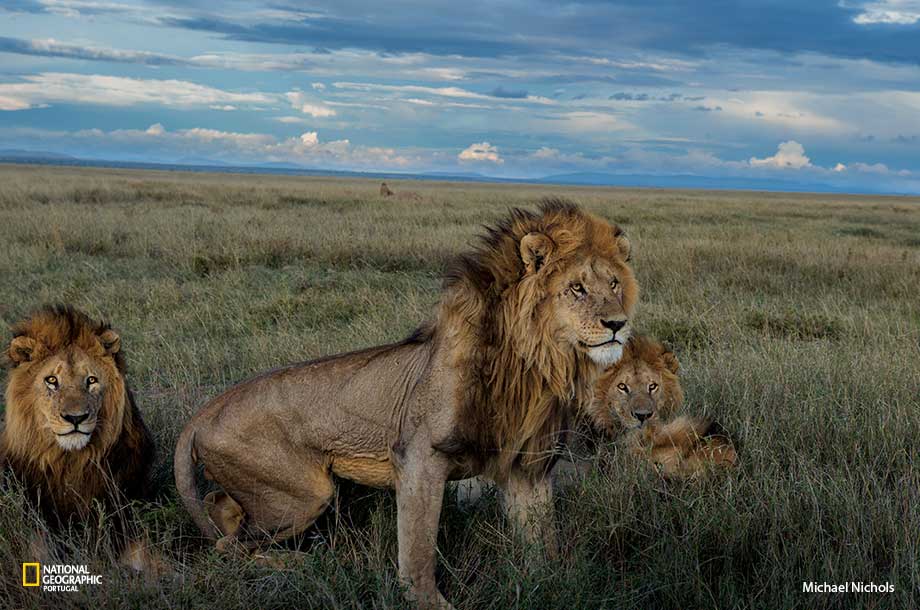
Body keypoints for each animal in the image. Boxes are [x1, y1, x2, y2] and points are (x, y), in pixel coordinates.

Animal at [175, 199, 637, 609]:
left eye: (614, 284)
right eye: (576, 288)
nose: (618, 324)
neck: (535, 362)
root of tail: (204, 412)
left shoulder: (529, 467)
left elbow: (544, 543)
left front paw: (558, 585)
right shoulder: (418, 456)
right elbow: (418, 548)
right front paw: (428, 603)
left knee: (221, 512)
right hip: (305, 494)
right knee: (227, 545)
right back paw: (295, 565)